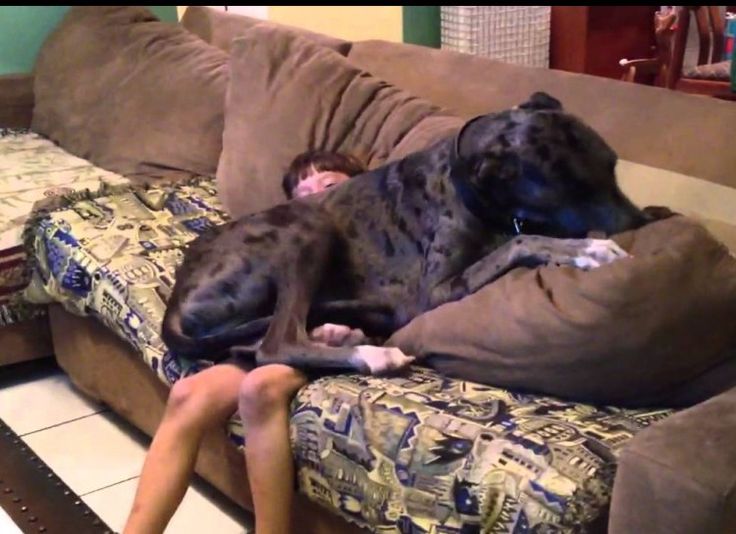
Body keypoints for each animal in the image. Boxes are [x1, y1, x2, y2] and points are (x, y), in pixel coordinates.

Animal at [162, 92, 659, 375]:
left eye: (613, 166)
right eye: (573, 188)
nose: (640, 225)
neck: (470, 182)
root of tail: (177, 297)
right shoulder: (433, 292)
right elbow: (521, 242)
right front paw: (587, 248)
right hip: (308, 223)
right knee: (273, 344)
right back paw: (371, 355)